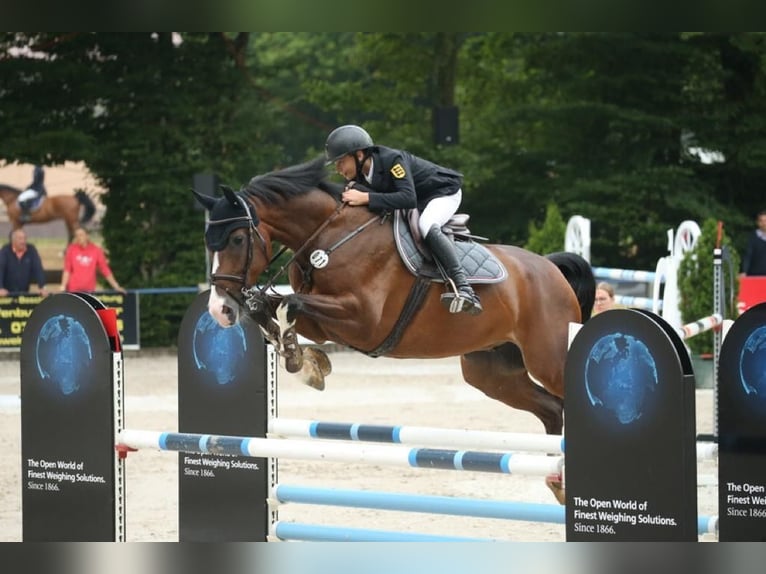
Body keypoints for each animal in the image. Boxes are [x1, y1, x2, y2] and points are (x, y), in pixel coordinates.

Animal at [195, 158, 596, 436]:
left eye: (236, 239)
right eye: (208, 242)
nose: (219, 309)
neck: (328, 235)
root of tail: (550, 268)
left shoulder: (364, 320)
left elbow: (288, 304)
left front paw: (299, 360)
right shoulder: (325, 322)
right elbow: (272, 307)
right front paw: (307, 360)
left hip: (547, 358)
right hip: (493, 371)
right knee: (551, 410)